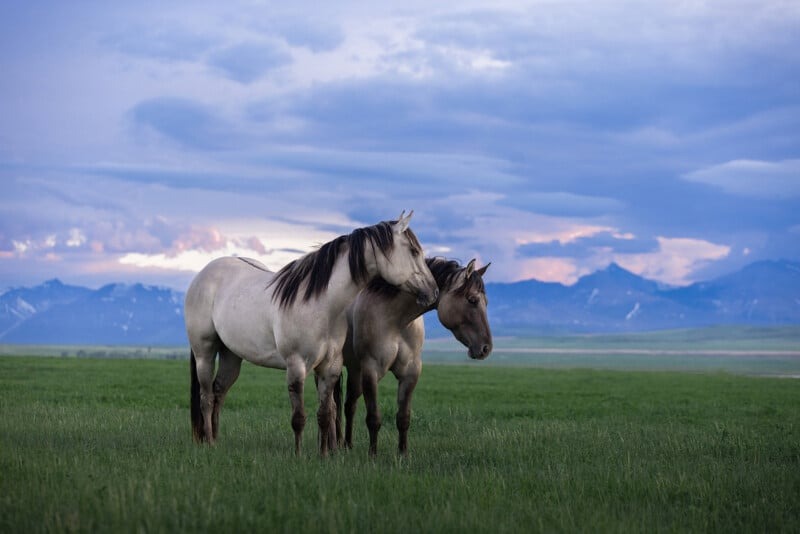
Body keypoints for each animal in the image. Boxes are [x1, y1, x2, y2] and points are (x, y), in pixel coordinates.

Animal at [183, 214, 438, 456]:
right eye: (414, 251)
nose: (433, 291)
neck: (321, 304)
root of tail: (201, 276)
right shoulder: (296, 366)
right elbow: (299, 417)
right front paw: (298, 455)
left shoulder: (329, 366)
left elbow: (325, 413)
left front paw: (324, 455)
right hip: (205, 352)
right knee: (206, 397)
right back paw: (209, 443)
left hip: (231, 355)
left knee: (219, 391)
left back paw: (216, 440)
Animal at [336, 258, 490, 456]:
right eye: (472, 300)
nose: (486, 348)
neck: (395, 320)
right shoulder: (371, 370)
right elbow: (373, 418)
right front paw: (373, 455)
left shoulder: (410, 372)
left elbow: (403, 417)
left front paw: (403, 454)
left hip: (355, 369)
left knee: (349, 405)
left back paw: (347, 444)